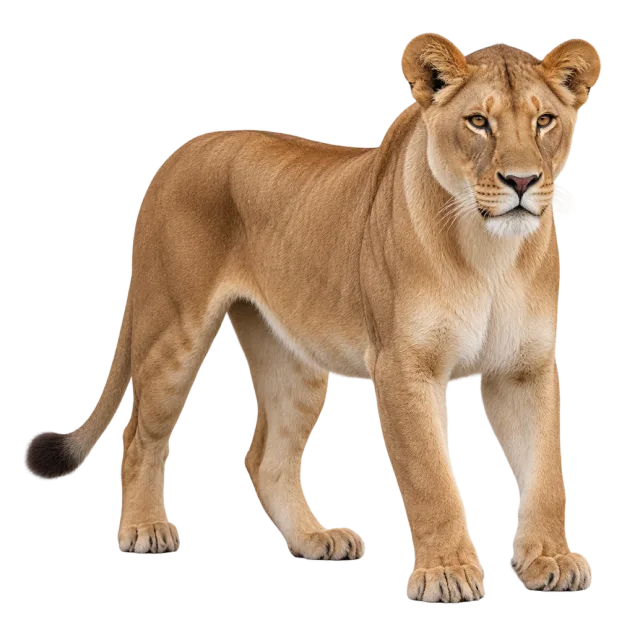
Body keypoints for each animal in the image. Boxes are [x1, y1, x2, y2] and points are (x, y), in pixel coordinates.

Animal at [25, 33, 601, 603]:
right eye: (478, 121)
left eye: (544, 120)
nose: (522, 181)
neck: (490, 254)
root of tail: (179, 151)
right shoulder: (404, 366)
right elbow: (431, 478)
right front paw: (448, 572)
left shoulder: (527, 366)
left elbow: (546, 474)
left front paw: (551, 560)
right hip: (174, 330)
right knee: (138, 436)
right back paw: (144, 528)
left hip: (294, 359)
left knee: (265, 460)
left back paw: (316, 538)